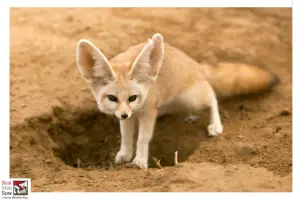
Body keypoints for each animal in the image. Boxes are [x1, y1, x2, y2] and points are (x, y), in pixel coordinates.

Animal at [76, 33, 280, 169]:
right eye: (112, 98)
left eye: (133, 97)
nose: (124, 114)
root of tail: (196, 64)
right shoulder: (131, 117)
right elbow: (126, 137)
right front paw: (125, 154)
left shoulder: (148, 112)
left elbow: (142, 138)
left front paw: (140, 161)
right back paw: (191, 116)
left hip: (192, 98)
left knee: (212, 95)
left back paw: (215, 125)